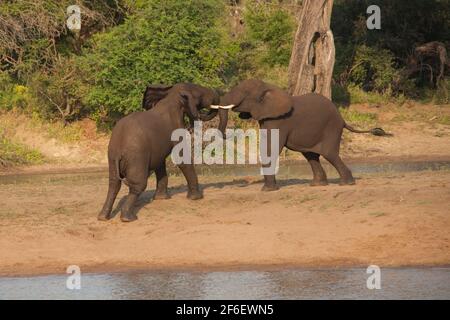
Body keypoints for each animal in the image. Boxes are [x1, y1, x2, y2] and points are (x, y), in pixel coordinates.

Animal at [97, 83, 225, 222]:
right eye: (200, 94)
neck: (171, 95)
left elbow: (159, 162)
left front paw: (161, 198)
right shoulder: (175, 127)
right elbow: (180, 157)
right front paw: (196, 198)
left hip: (112, 156)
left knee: (114, 184)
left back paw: (103, 217)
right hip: (136, 157)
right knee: (138, 185)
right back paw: (128, 218)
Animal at [213, 79, 388, 191]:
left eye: (244, 93)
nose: (226, 135)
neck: (268, 87)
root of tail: (342, 119)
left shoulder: (279, 120)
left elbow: (271, 148)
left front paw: (267, 190)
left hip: (331, 128)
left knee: (329, 154)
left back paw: (346, 184)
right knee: (311, 156)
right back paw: (317, 185)